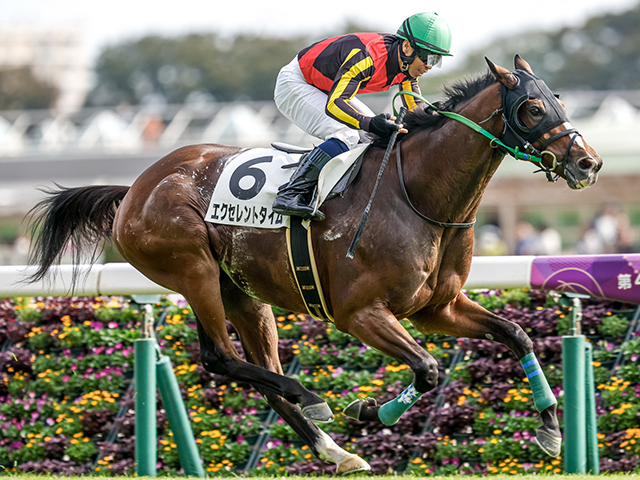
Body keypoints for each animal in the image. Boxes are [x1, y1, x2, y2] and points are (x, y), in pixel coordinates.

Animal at [27, 56, 600, 472]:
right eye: (532, 108)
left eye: (558, 100)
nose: (588, 162)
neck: (417, 193)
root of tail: (133, 190)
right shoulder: (359, 313)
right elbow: (428, 368)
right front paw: (370, 409)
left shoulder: (437, 308)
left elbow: (515, 335)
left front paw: (551, 430)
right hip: (193, 271)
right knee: (221, 359)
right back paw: (314, 399)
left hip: (244, 293)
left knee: (259, 372)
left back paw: (335, 450)